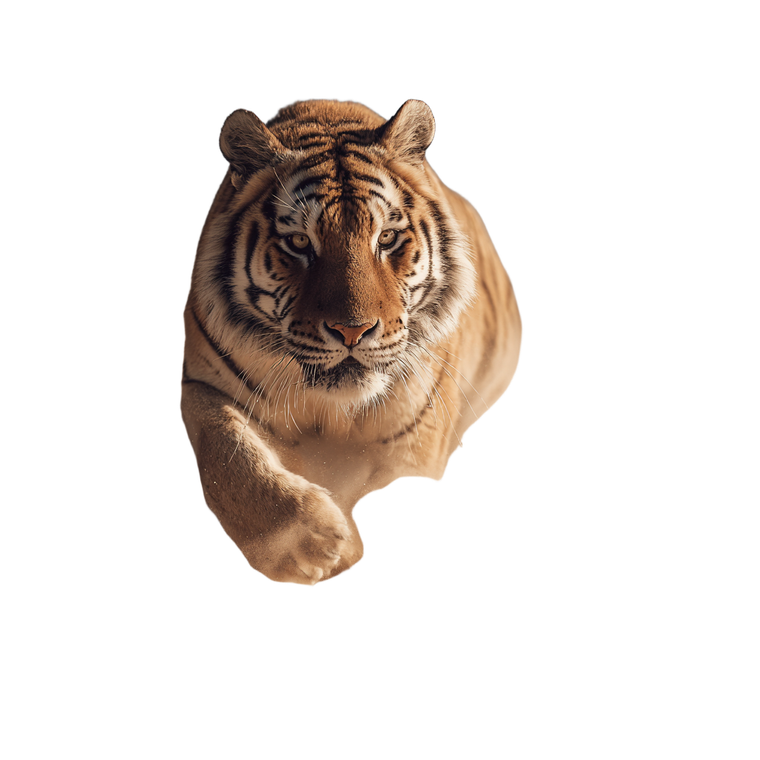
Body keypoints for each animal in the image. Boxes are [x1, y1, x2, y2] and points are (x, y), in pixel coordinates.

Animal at [180, 98, 523, 586]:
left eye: (387, 238)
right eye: (299, 242)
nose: (352, 331)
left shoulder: (415, 446)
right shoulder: (201, 385)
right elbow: (227, 450)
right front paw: (312, 545)